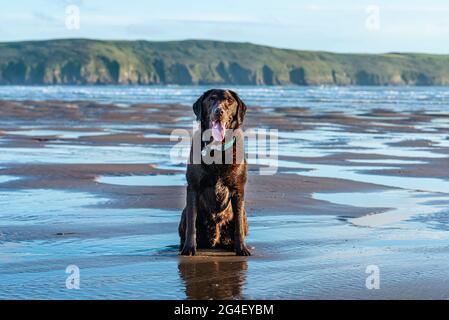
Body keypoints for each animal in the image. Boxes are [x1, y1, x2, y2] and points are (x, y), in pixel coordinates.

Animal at [177, 89, 250, 256]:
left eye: (230, 101)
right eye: (211, 99)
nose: (219, 111)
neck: (217, 149)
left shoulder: (238, 189)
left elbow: (238, 226)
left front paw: (241, 248)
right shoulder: (193, 188)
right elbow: (191, 223)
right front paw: (189, 248)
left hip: (244, 215)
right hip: (183, 213)